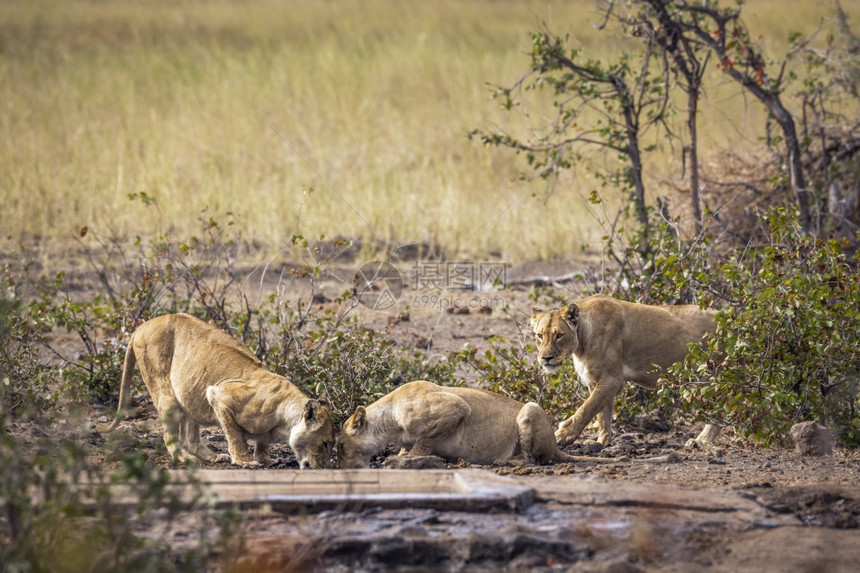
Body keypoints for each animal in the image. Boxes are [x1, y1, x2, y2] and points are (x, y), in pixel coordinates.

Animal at [106, 312, 334, 470]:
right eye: (325, 444)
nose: (324, 467)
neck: (285, 422)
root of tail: (142, 326)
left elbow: (261, 443)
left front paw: (266, 459)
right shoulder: (219, 395)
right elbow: (235, 436)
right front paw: (245, 461)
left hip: (189, 396)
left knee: (190, 438)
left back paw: (212, 457)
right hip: (165, 391)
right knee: (170, 436)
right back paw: (184, 458)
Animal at [336, 378, 576, 466]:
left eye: (341, 446)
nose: (343, 467)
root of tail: (555, 446)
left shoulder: (456, 407)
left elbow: (424, 440)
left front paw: (410, 457)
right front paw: (403, 454)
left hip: (531, 407)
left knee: (532, 460)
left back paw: (504, 461)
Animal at [532, 294, 720, 452]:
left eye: (559, 335)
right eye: (540, 335)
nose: (546, 358)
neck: (582, 340)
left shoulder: (612, 379)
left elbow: (586, 409)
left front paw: (562, 436)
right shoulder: (596, 380)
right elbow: (602, 415)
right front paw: (601, 442)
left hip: (708, 377)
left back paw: (701, 440)